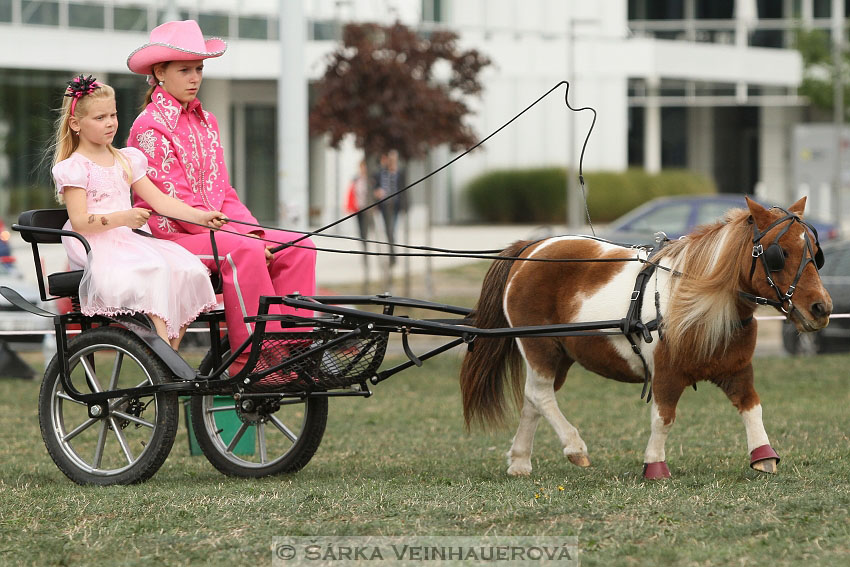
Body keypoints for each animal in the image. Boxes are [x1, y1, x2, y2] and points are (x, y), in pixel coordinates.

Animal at [458, 197, 828, 478]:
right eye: (778, 254)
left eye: (815, 252)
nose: (822, 308)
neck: (701, 303)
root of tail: (530, 249)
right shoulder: (666, 375)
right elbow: (663, 418)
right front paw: (655, 465)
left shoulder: (736, 370)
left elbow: (752, 407)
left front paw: (764, 456)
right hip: (540, 347)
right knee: (541, 396)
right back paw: (574, 447)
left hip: (560, 355)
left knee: (532, 400)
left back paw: (520, 460)